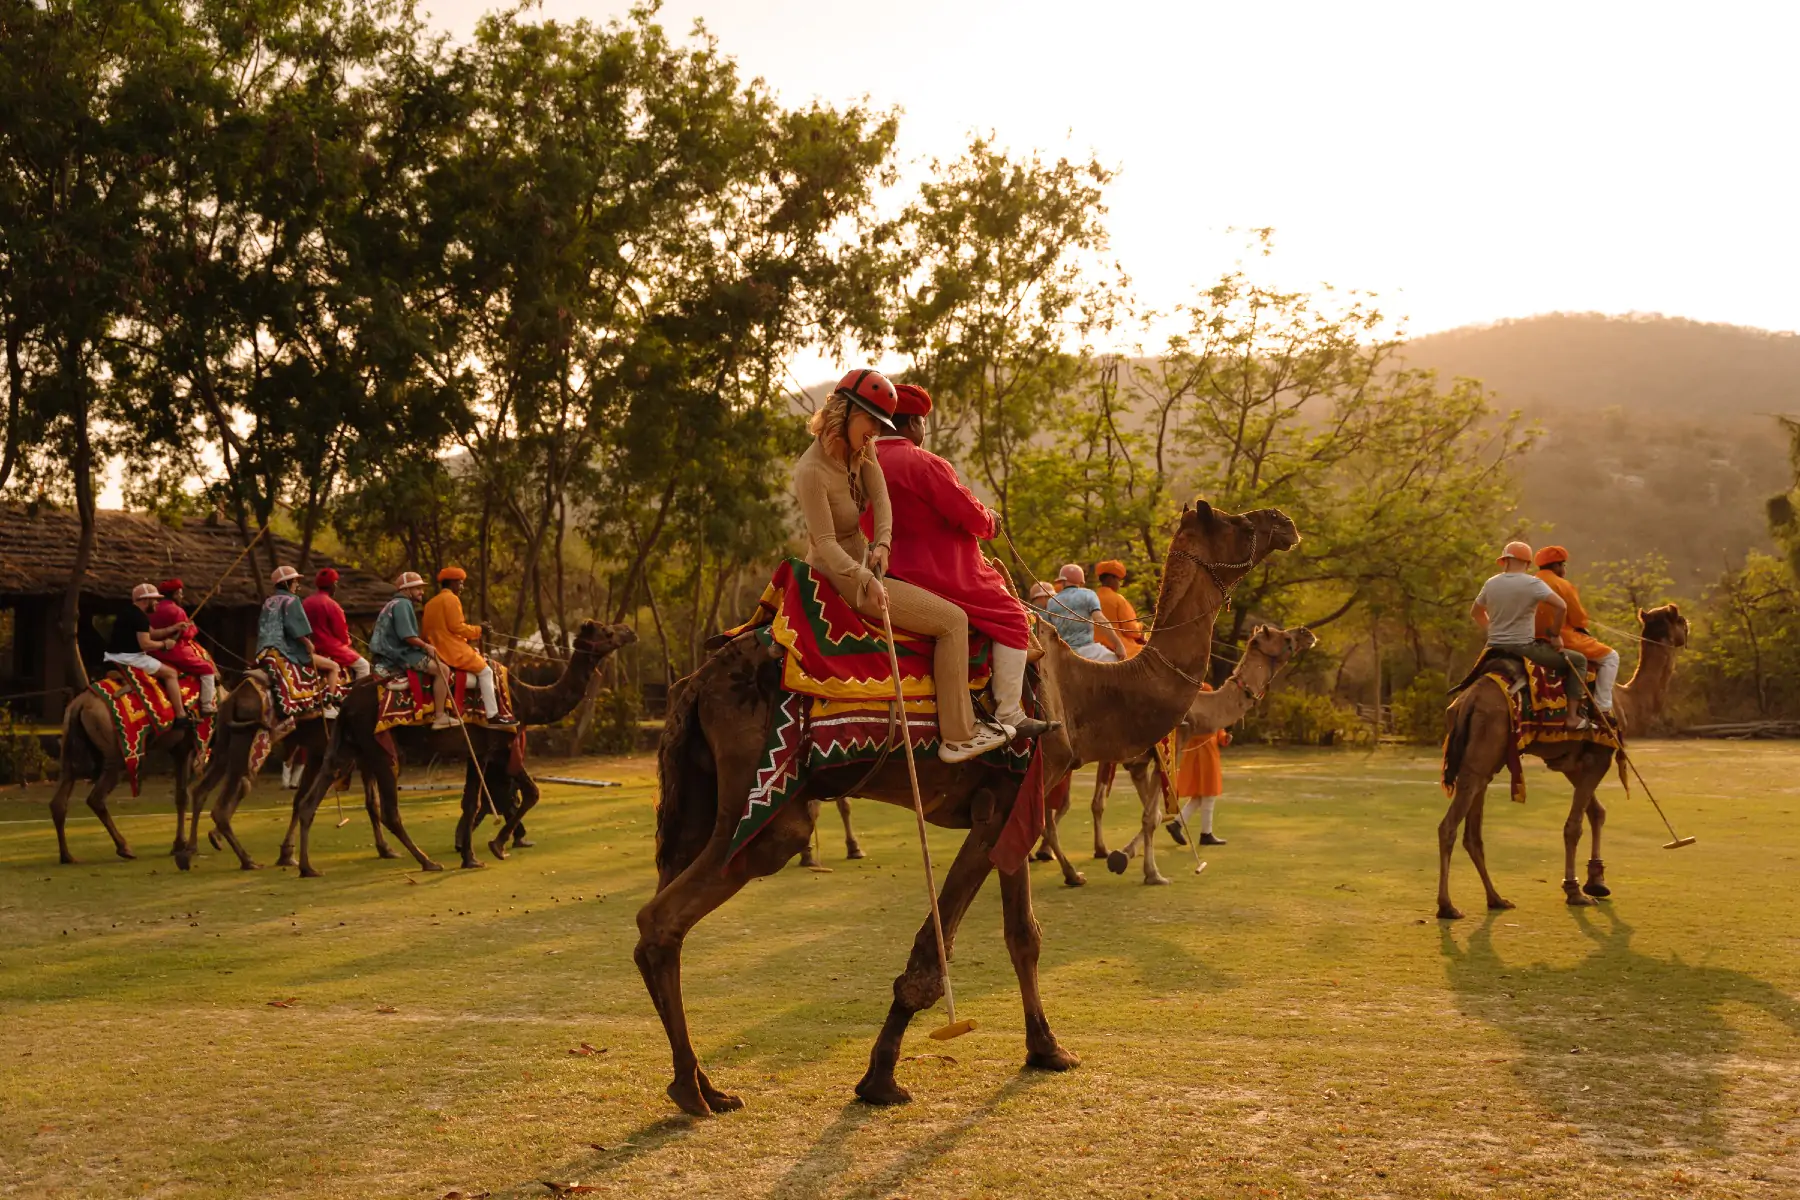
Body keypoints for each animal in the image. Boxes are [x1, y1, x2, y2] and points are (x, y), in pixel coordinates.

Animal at [49, 676, 200, 863]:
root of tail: (79, 705)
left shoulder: (179, 749)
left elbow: (181, 796)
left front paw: (179, 845)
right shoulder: (186, 746)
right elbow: (186, 795)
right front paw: (183, 846)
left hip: (71, 746)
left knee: (61, 796)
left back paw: (67, 856)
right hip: (115, 754)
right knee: (96, 798)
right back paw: (124, 848)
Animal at [289, 626, 640, 877]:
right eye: (606, 632)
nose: (629, 631)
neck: (527, 700)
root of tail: (346, 703)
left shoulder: (488, 753)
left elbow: (490, 799)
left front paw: (475, 852)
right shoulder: (491, 749)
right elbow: (511, 796)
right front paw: (490, 848)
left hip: (345, 747)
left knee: (309, 800)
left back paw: (307, 866)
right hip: (379, 749)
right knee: (389, 810)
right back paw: (427, 862)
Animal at [637, 500, 1296, 1115]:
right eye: (1238, 522)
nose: (1283, 521)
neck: (1086, 694)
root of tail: (696, 683)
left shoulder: (1018, 804)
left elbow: (1023, 935)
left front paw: (1047, 1048)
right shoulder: (997, 810)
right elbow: (935, 950)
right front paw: (880, 1080)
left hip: (701, 801)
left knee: (665, 914)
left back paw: (703, 1085)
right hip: (764, 804)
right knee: (661, 919)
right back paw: (693, 1091)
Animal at [1432, 604, 1684, 928]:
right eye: (1680, 620)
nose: (1687, 629)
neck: (1627, 701)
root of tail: (1467, 701)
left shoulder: (1570, 763)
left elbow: (1596, 813)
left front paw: (1597, 882)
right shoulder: (1599, 755)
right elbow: (1573, 826)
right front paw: (1575, 891)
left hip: (1483, 760)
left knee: (1473, 832)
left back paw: (1497, 899)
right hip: (1484, 751)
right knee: (1448, 827)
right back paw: (1447, 906)